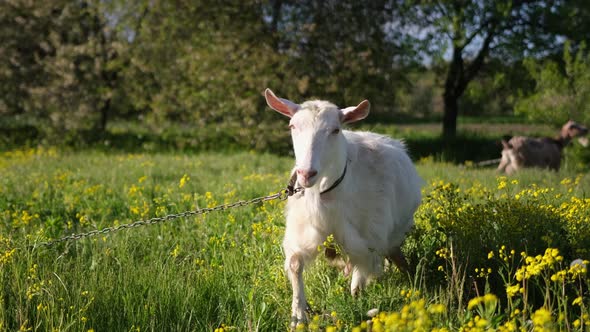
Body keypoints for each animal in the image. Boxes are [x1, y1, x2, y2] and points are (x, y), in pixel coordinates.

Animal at [264, 89, 426, 326]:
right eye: (292, 126)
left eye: (335, 130)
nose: (306, 174)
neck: (325, 193)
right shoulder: (303, 229)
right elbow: (295, 264)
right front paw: (298, 316)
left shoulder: (369, 236)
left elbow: (359, 276)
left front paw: (355, 298)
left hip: (393, 231)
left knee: (388, 253)